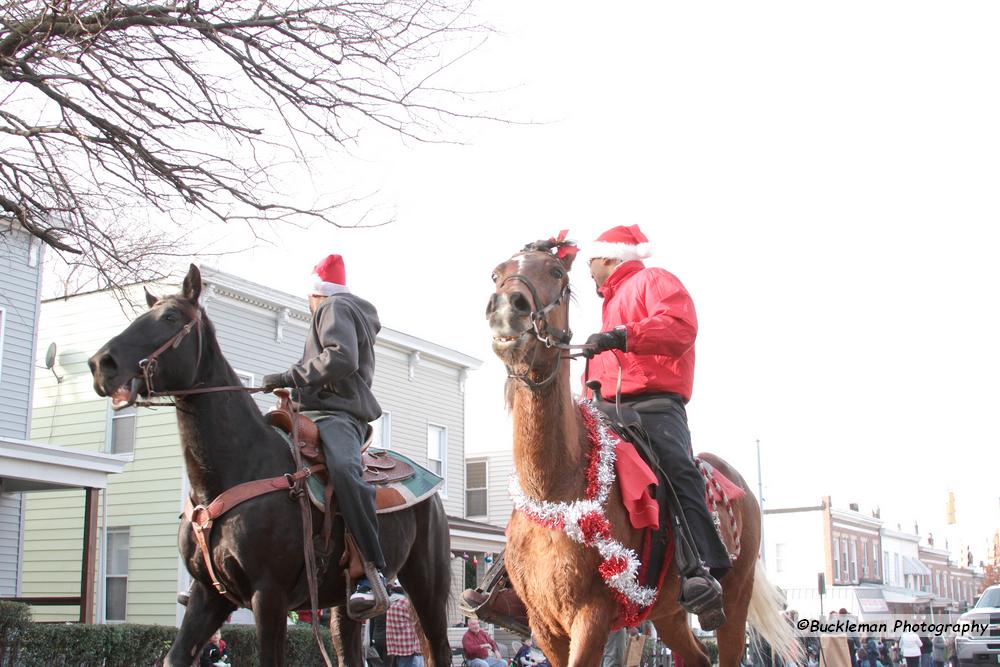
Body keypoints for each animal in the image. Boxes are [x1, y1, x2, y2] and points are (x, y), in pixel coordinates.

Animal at [89, 266, 450, 667]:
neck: (234, 469)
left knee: (439, 647)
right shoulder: (209, 594)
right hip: (343, 606)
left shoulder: (269, 594)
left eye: (170, 317)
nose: (101, 364)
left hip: (427, 586)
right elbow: (176, 656)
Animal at [484, 243, 796, 667]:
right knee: (697, 657)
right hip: (667, 612)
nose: (506, 308)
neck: (555, 489)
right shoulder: (543, 625)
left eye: (555, 271)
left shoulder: (592, 616)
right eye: (497, 273)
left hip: (735, 597)